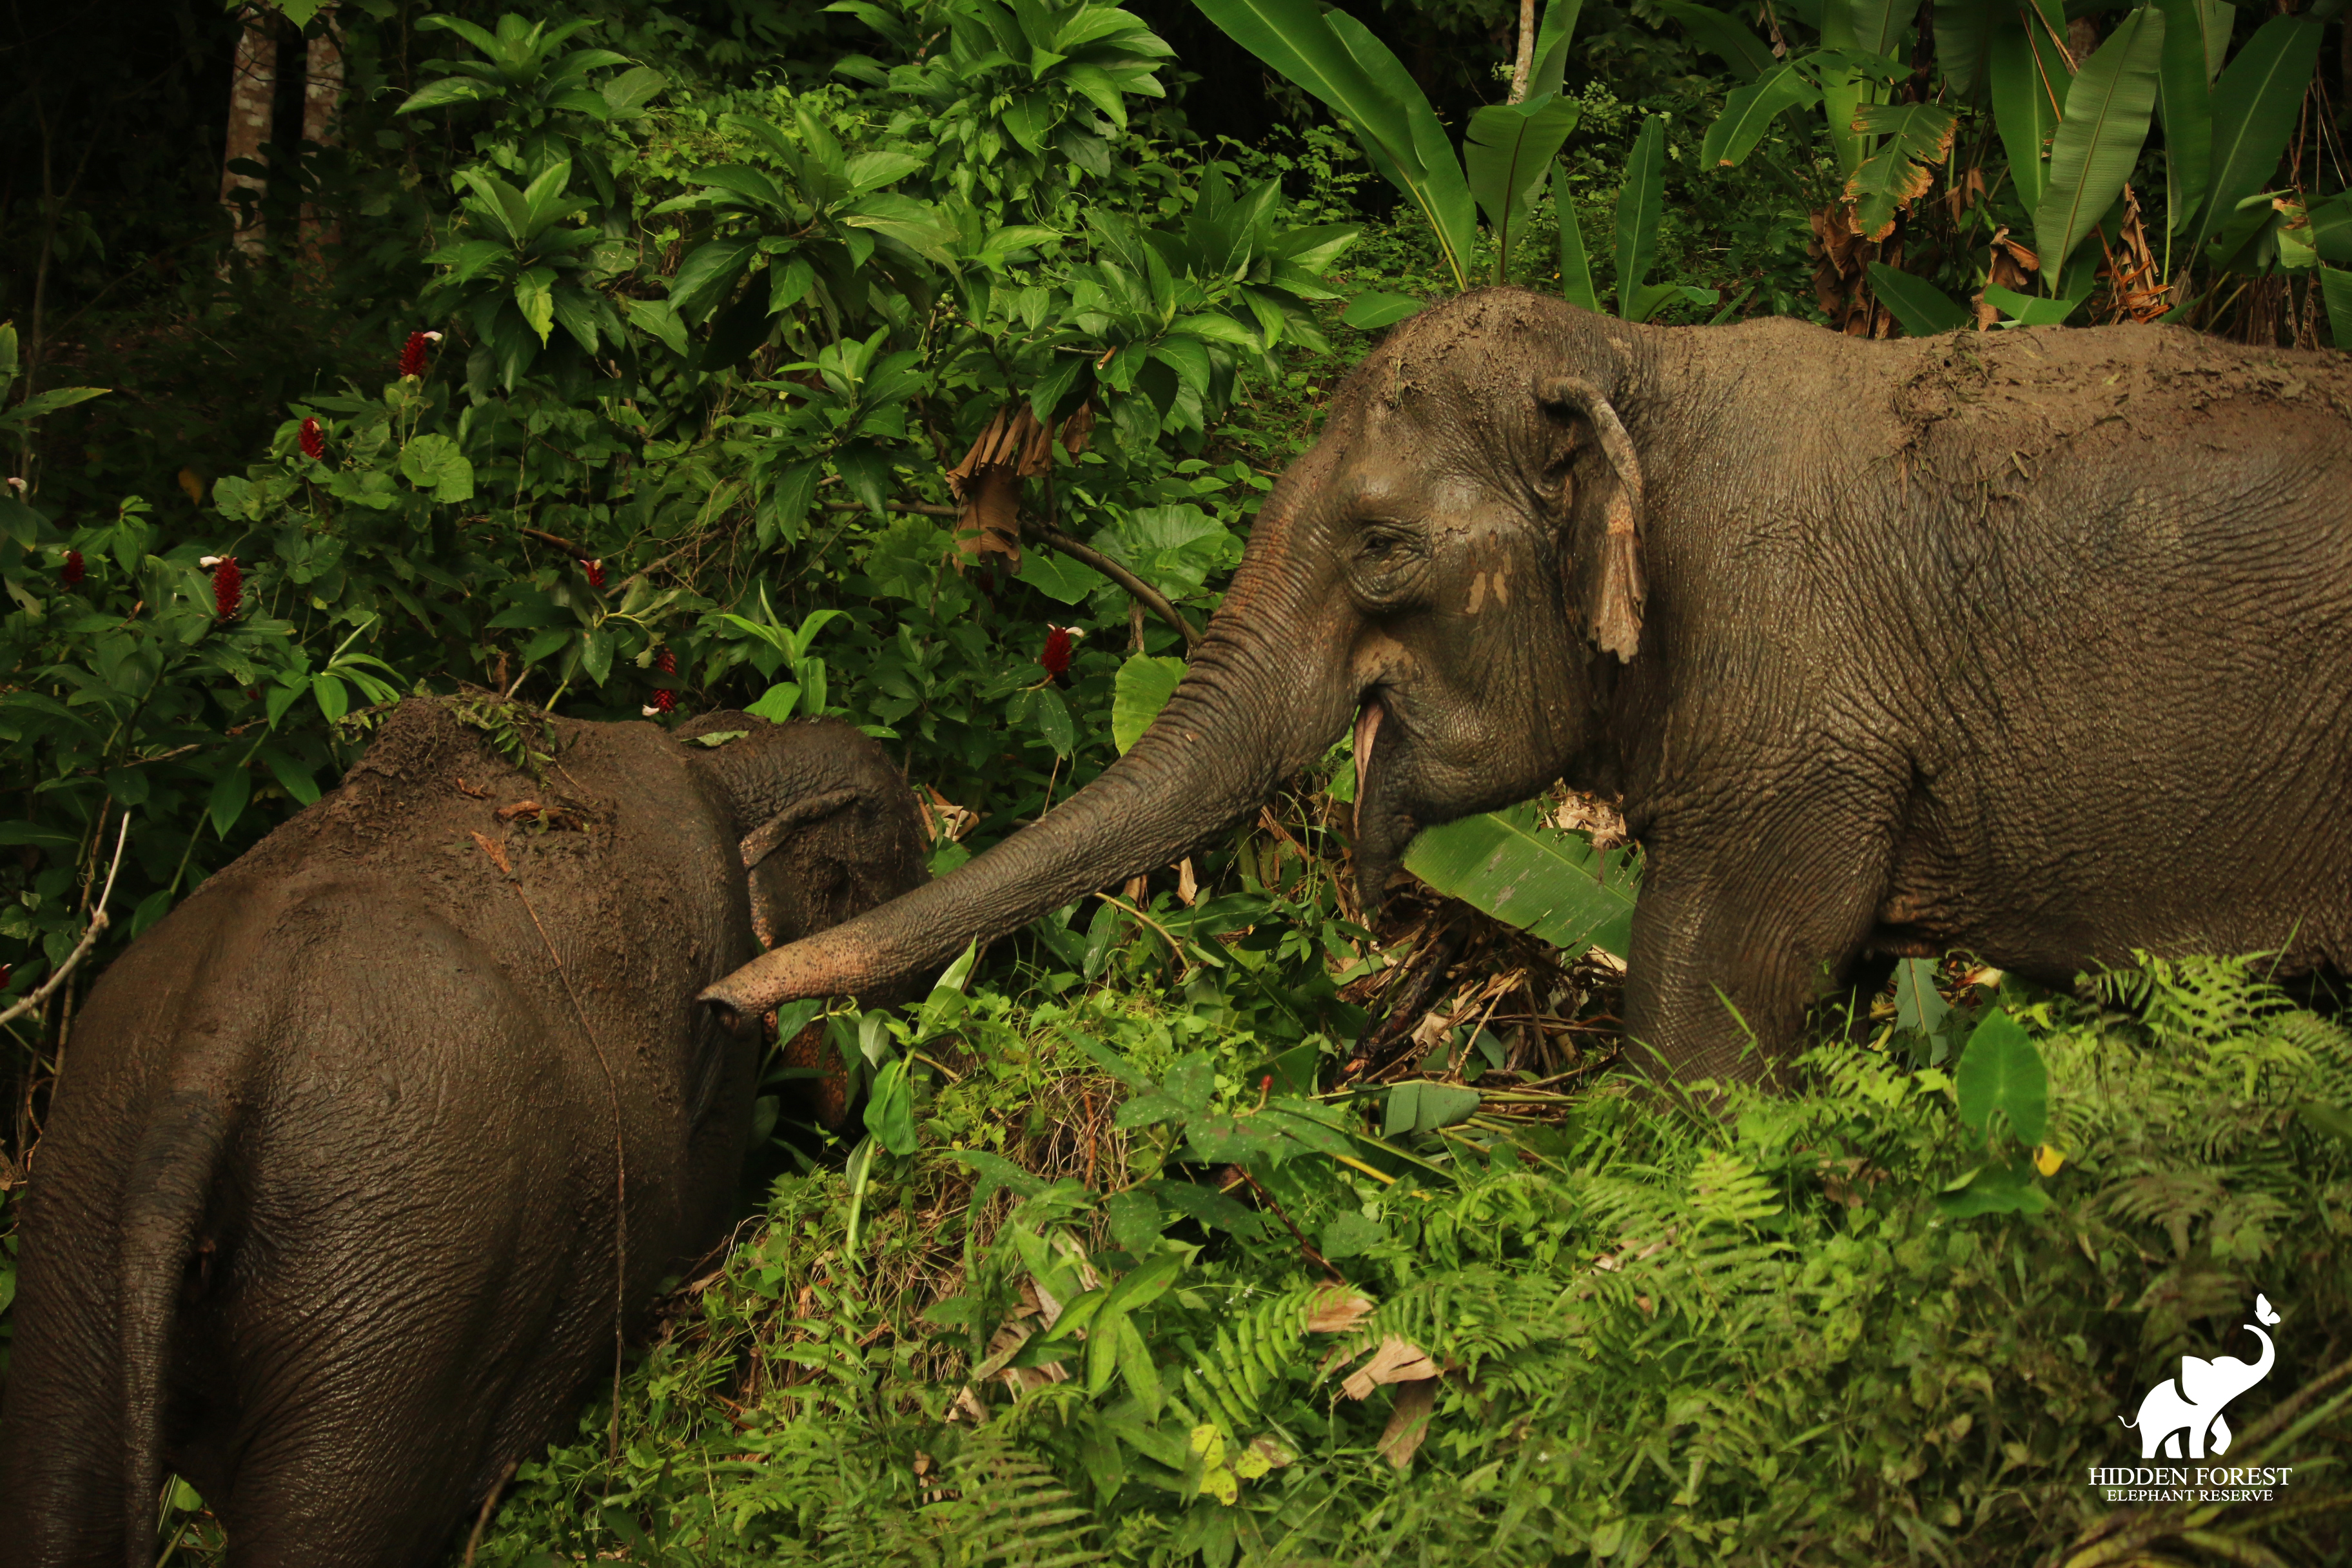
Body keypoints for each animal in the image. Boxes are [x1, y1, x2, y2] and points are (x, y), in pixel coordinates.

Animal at [0, 697, 927, 1566]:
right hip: (394, 1259)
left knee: (61, 1485)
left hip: (87, 1190)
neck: (726, 763)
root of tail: (215, 1045)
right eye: (904, 867)